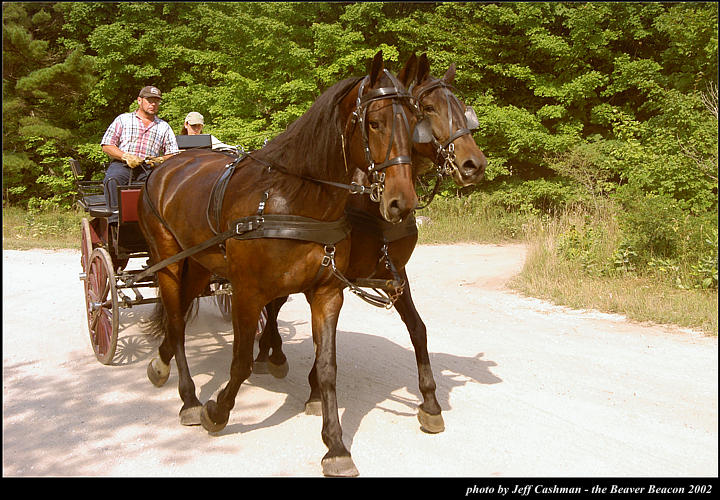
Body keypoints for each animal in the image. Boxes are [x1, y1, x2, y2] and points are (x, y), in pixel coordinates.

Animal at [139, 51, 422, 476]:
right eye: (374, 122)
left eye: (413, 122)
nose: (401, 202)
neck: (291, 200)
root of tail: (165, 166)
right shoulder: (246, 291)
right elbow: (240, 361)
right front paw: (217, 412)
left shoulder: (327, 292)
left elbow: (328, 367)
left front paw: (335, 446)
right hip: (168, 262)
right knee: (175, 323)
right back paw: (188, 398)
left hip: (200, 264)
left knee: (180, 315)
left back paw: (161, 365)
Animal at [256, 53, 486, 434]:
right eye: (427, 109)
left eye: (461, 107)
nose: (474, 165)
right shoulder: (331, 275)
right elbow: (322, 339)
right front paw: (316, 392)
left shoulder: (395, 272)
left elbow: (418, 329)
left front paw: (430, 402)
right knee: (272, 304)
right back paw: (268, 353)